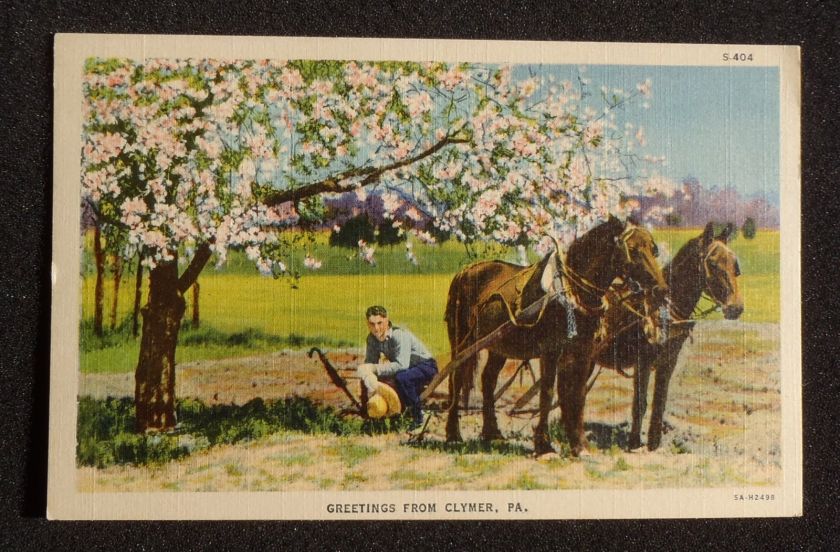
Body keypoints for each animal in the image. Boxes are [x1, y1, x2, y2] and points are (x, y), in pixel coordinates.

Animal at [446, 217, 668, 458]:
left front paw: (579, 445)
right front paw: (544, 445)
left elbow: (576, 395)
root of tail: (465, 271)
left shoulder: (583, 354)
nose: (662, 290)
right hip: (462, 343)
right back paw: (453, 434)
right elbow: (548, 393)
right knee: (455, 380)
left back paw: (491, 433)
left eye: (654, 249)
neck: (571, 292)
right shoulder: (550, 351)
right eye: (633, 250)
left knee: (488, 380)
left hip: (499, 346)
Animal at [596, 222, 740, 450]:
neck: (663, 309)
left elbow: (659, 403)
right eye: (713, 263)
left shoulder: (668, 361)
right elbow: (640, 404)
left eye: (735, 265)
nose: (736, 308)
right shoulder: (643, 362)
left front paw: (653, 444)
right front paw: (634, 444)